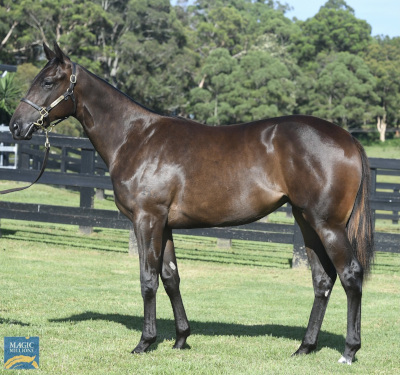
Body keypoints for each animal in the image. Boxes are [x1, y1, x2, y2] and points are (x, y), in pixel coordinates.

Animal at [8, 43, 376, 364]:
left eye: (48, 81)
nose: (15, 125)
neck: (135, 137)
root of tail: (348, 138)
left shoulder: (147, 219)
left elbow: (148, 279)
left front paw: (145, 342)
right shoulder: (165, 225)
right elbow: (171, 277)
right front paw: (181, 338)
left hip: (327, 225)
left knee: (350, 275)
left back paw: (349, 350)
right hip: (306, 222)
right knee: (322, 280)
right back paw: (305, 347)